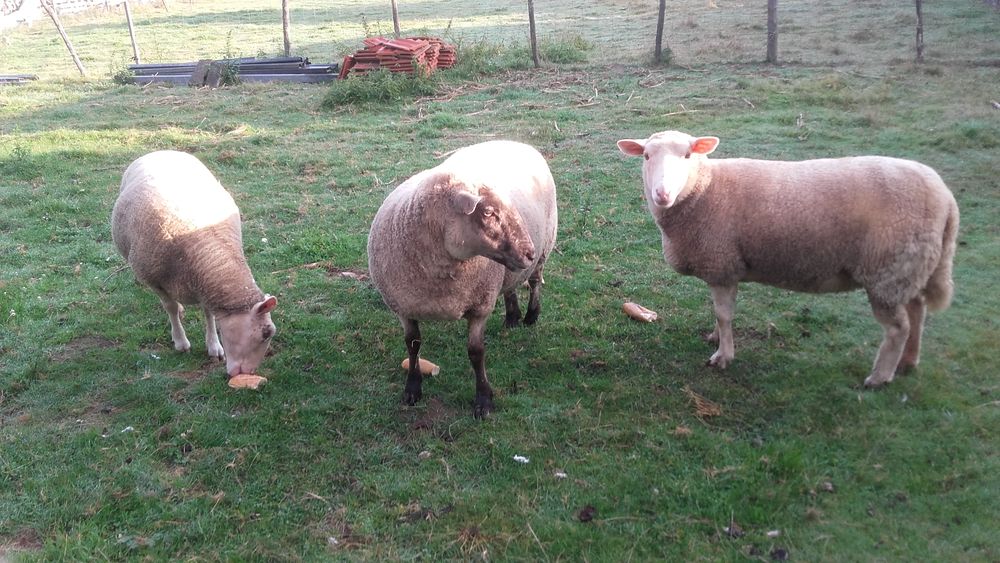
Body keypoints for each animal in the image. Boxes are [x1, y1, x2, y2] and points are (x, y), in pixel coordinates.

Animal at [111, 150, 277, 378]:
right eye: (265, 333)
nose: (249, 373)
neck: (207, 253)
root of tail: (160, 151)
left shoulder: (203, 285)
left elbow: (208, 313)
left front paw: (214, 347)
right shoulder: (154, 281)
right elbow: (170, 307)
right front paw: (181, 342)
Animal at [368, 140, 558, 418]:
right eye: (488, 212)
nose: (528, 253)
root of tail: (514, 142)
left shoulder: (480, 306)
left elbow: (476, 352)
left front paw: (483, 400)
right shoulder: (403, 306)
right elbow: (412, 344)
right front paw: (412, 388)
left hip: (546, 244)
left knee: (534, 282)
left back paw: (531, 315)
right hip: (510, 267)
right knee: (510, 286)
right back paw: (512, 317)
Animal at [617, 130, 958, 387]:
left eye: (688, 155)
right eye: (646, 156)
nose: (662, 194)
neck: (705, 189)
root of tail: (946, 198)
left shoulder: (723, 263)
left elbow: (725, 315)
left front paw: (723, 356)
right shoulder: (721, 268)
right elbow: (718, 313)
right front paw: (714, 337)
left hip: (889, 269)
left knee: (898, 327)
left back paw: (879, 377)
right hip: (909, 267)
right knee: (917, 312)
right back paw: (908, 362)